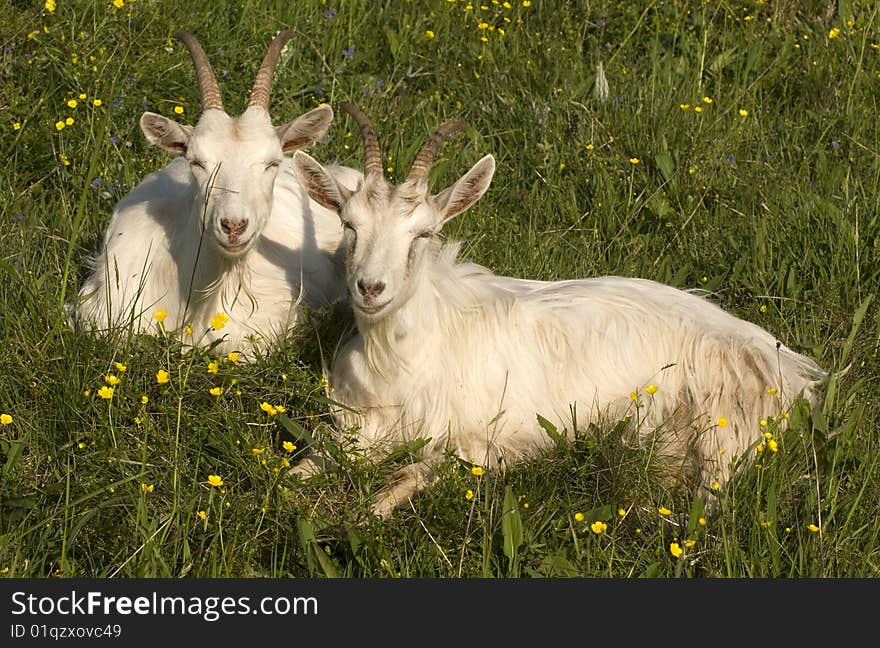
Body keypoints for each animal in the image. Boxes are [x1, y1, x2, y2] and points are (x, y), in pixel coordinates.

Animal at [292, 101, 828, 520]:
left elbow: (411, 478)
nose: (370, 288)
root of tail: (790, 368)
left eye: (423, 233)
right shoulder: (356, 426)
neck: (404, 357)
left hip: (719, 431)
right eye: (349, 224)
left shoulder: (495, 438)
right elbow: (302, 467)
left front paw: (361, 515)